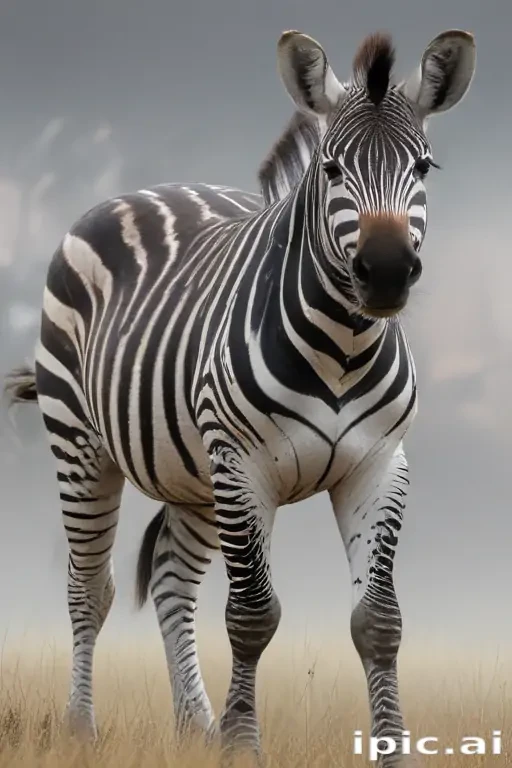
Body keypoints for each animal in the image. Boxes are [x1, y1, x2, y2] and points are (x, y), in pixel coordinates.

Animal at [4, 27, 475, 767]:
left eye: (424, 167)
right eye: (332, 169)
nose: (387, 271)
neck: (343, 346)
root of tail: (142, 191)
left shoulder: (378, 466)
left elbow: (379, 620)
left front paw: (393, 750)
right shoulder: (244, 466)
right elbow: (252, 615)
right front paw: (242, 747)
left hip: (191, 474)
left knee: (170, 580)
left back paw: (193, 726)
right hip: (81, 443)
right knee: (89, 589)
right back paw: (82, 729)